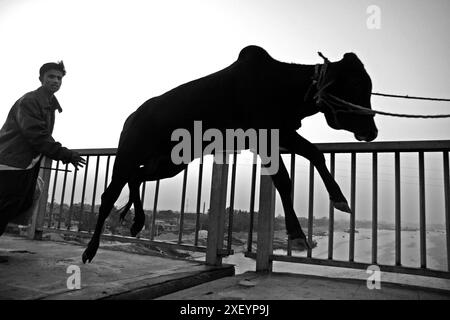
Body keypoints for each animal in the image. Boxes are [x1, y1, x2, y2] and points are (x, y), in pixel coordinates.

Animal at [81, 45, 376, 264]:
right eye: (355, 85)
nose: (372, 131)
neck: (282, 86)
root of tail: (132, 116)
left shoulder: (282, 133)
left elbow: (316, 154)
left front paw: (340, 199)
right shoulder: (263, 139)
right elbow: (284, 180)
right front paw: (297, 234)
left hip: (170, 163)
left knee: (137, 178)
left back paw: (138, 222)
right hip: (127, 156)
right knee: (109, 195)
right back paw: (90, 250)